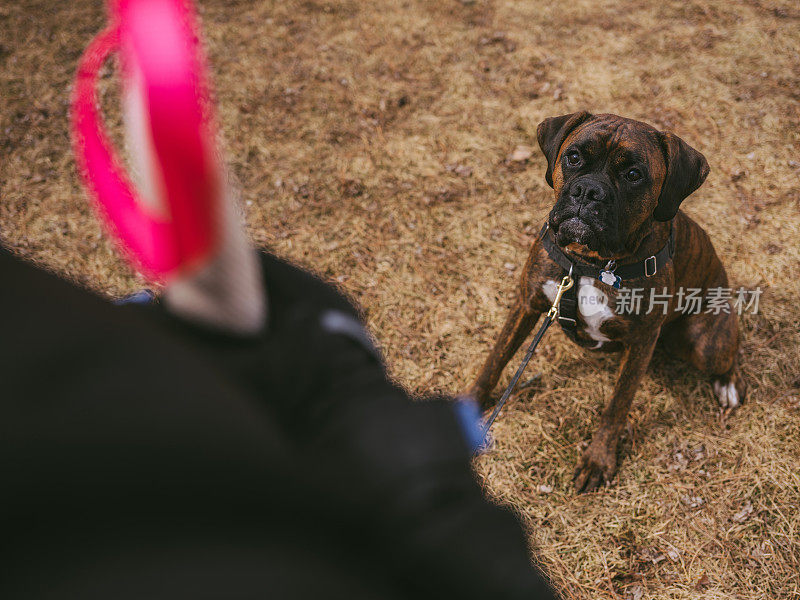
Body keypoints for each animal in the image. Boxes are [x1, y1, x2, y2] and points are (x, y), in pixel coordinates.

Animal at [468, 111, 744, 492]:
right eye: (573, 157)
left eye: (633, 174)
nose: (588, 191)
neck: (590, 263)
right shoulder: (527, 303)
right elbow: (496, 358)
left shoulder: (641, 342)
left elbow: (617, 406)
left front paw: (598, 459)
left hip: (706, 343)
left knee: (728, 352)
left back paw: (728, 384)